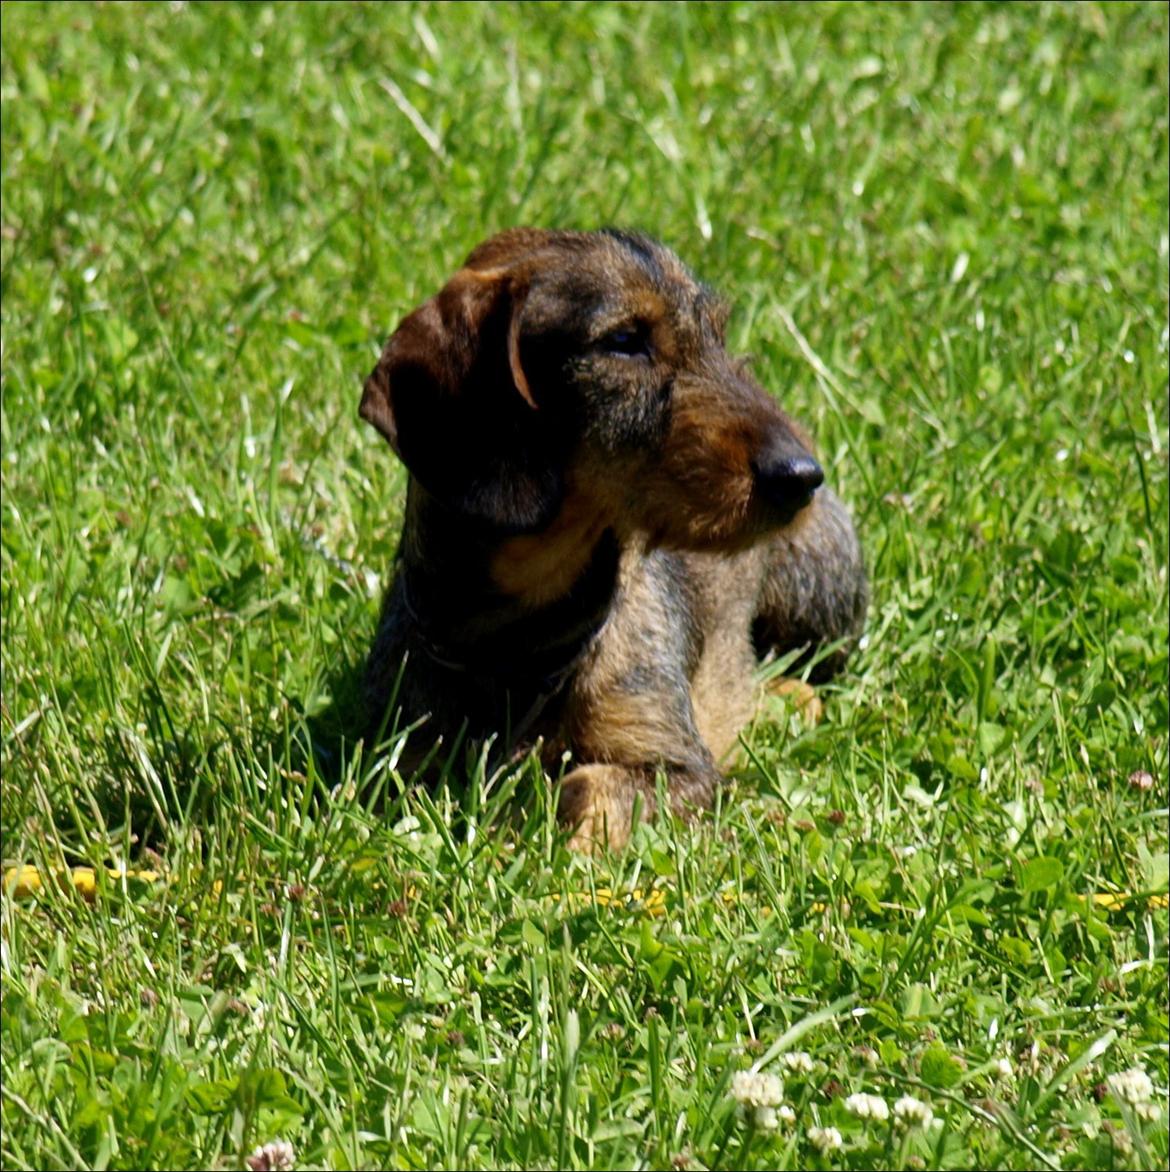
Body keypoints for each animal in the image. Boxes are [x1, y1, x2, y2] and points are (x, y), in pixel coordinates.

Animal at [361, 228, 867, 848]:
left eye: (717, 337)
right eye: (625, 340)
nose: (801, 475)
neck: (520, 646)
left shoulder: (680, 766)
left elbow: (590, 785)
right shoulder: (399, 760)